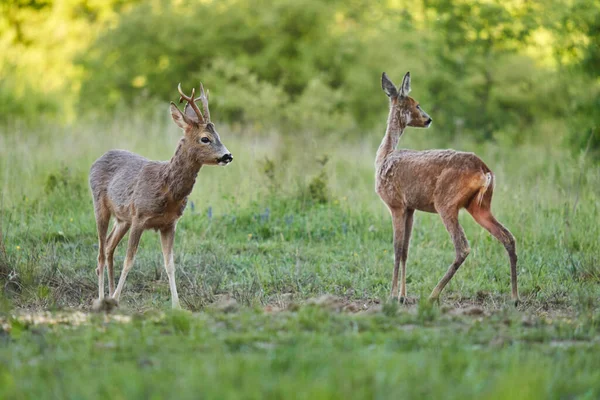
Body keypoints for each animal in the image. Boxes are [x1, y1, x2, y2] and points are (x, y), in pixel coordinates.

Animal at [89, 83, 232, 310]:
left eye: (218, 135)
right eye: (205, 138)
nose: (228, 156)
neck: (166, 189)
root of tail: (97, 160)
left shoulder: (169, 224)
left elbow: (170, 264)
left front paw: (177, 305)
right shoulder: (139, 217)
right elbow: (129, 260)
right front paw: (118, 297)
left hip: (122, 219)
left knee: (110, 246)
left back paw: (109, 296)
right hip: (100, 206)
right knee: (101, 252)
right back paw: (103, 299)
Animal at [378, 72, 516, 304]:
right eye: (416, 104)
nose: (428, 119)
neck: (384, 157)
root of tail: (485, 170)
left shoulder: (395, 204)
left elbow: (396, 249)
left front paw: (391, 296)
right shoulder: (410, 208)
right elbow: (405, 250)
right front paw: (403, 296)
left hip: (446, 203)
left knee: (463, 247)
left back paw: (433, 295)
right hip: (480, 206)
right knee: (508, 237)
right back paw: (514, 297)